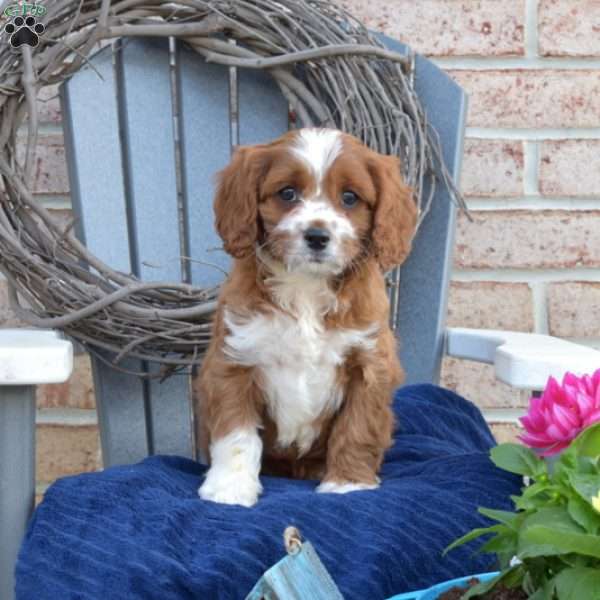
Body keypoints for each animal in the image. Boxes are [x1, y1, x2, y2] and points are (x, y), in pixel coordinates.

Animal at [193, 126, 418, 506]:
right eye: (287, 193)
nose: (317, 236)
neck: (306, 288)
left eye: (350, 197)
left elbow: (358, 426)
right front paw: (229, 488)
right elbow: (236, 433)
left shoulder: (369, 363)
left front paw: (348, 483)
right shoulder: (234, 359)